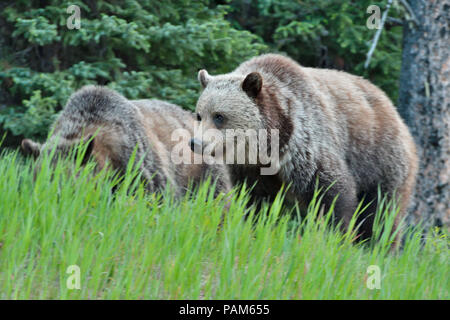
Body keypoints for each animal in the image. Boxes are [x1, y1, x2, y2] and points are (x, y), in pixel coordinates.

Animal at [190, 53, 418, 241]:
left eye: (219, 116)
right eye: (199, 115)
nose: (196, 143)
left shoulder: (305, 144)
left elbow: (332, 192)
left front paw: (334, 236)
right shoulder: (251, 169)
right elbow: (254, 199)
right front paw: (253, 226)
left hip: (381, 159)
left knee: (381, 210)